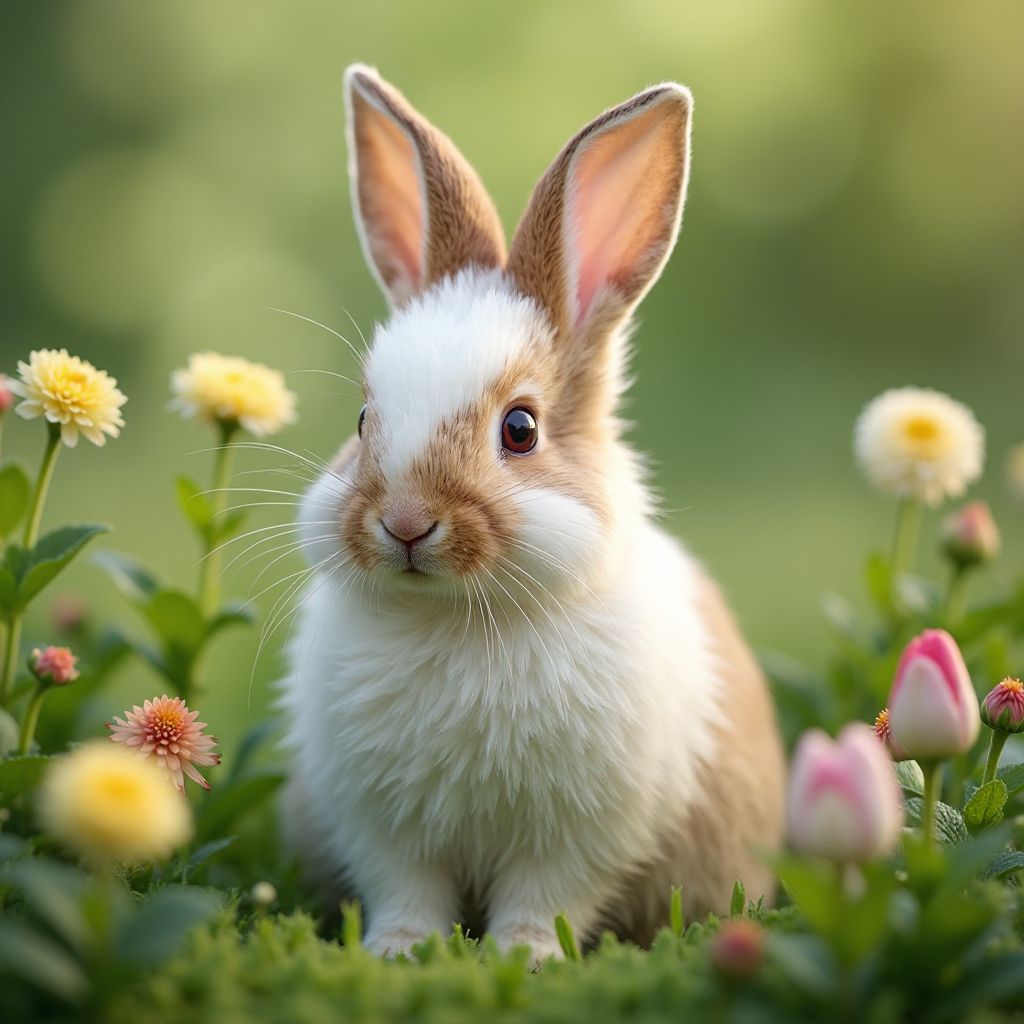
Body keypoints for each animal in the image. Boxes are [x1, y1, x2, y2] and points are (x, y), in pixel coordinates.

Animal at [278, 63, 786, 960]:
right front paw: (399, 951)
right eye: (364, 420)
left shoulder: (575, 839)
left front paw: (525, 957)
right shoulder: (386, 832)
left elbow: (543, 899)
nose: (404, 523)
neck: (454, 617)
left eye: (520, 429)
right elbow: (406, 893)